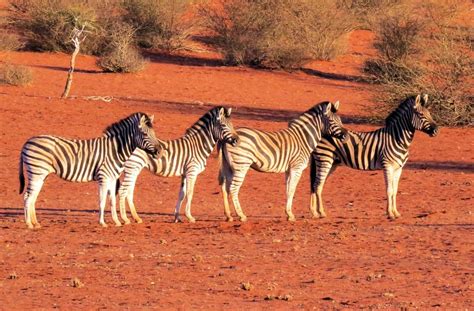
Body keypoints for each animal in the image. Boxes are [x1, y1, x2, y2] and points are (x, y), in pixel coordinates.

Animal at [18, 113, 161, 230]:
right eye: (145, 134)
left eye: (154, 133)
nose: (160, 152)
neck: (115, 150)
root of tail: (28, 141)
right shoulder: (104, 177)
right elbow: (102, 201)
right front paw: (103, 223)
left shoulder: (112, 179)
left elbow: (112, 201)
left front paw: (117, 221)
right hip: (36, 172)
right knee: (27, 197)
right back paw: (29, 224)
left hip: (41, 175)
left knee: (33, 197)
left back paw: (36, 223)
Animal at [218, 101, 348, 223]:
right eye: (331, 121)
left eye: (340, 120)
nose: (346, 136)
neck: (303, 139)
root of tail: (227, 138)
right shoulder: (296, 167)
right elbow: (292, 190)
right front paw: (290, 215)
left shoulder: (288, 169)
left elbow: (288, 190)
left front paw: (288, 213)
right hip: (241, 164)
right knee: (233, 189)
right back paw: (241, 215)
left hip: (228, 166)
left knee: (225, 188)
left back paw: (228, 215)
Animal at [312, 94, 440, 219]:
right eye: (421, 114)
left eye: (429, 114)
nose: (436, 130)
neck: (397, 139)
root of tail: (320, 132)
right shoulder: (387, 166)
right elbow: (389, 190)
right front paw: (390, 214)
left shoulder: (398, 168)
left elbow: (395, 191)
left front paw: (396, 213)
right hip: (325, 160)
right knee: (317, 185)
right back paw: (320, 213)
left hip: (332, 163)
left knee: (316, 185)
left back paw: (314, 212)